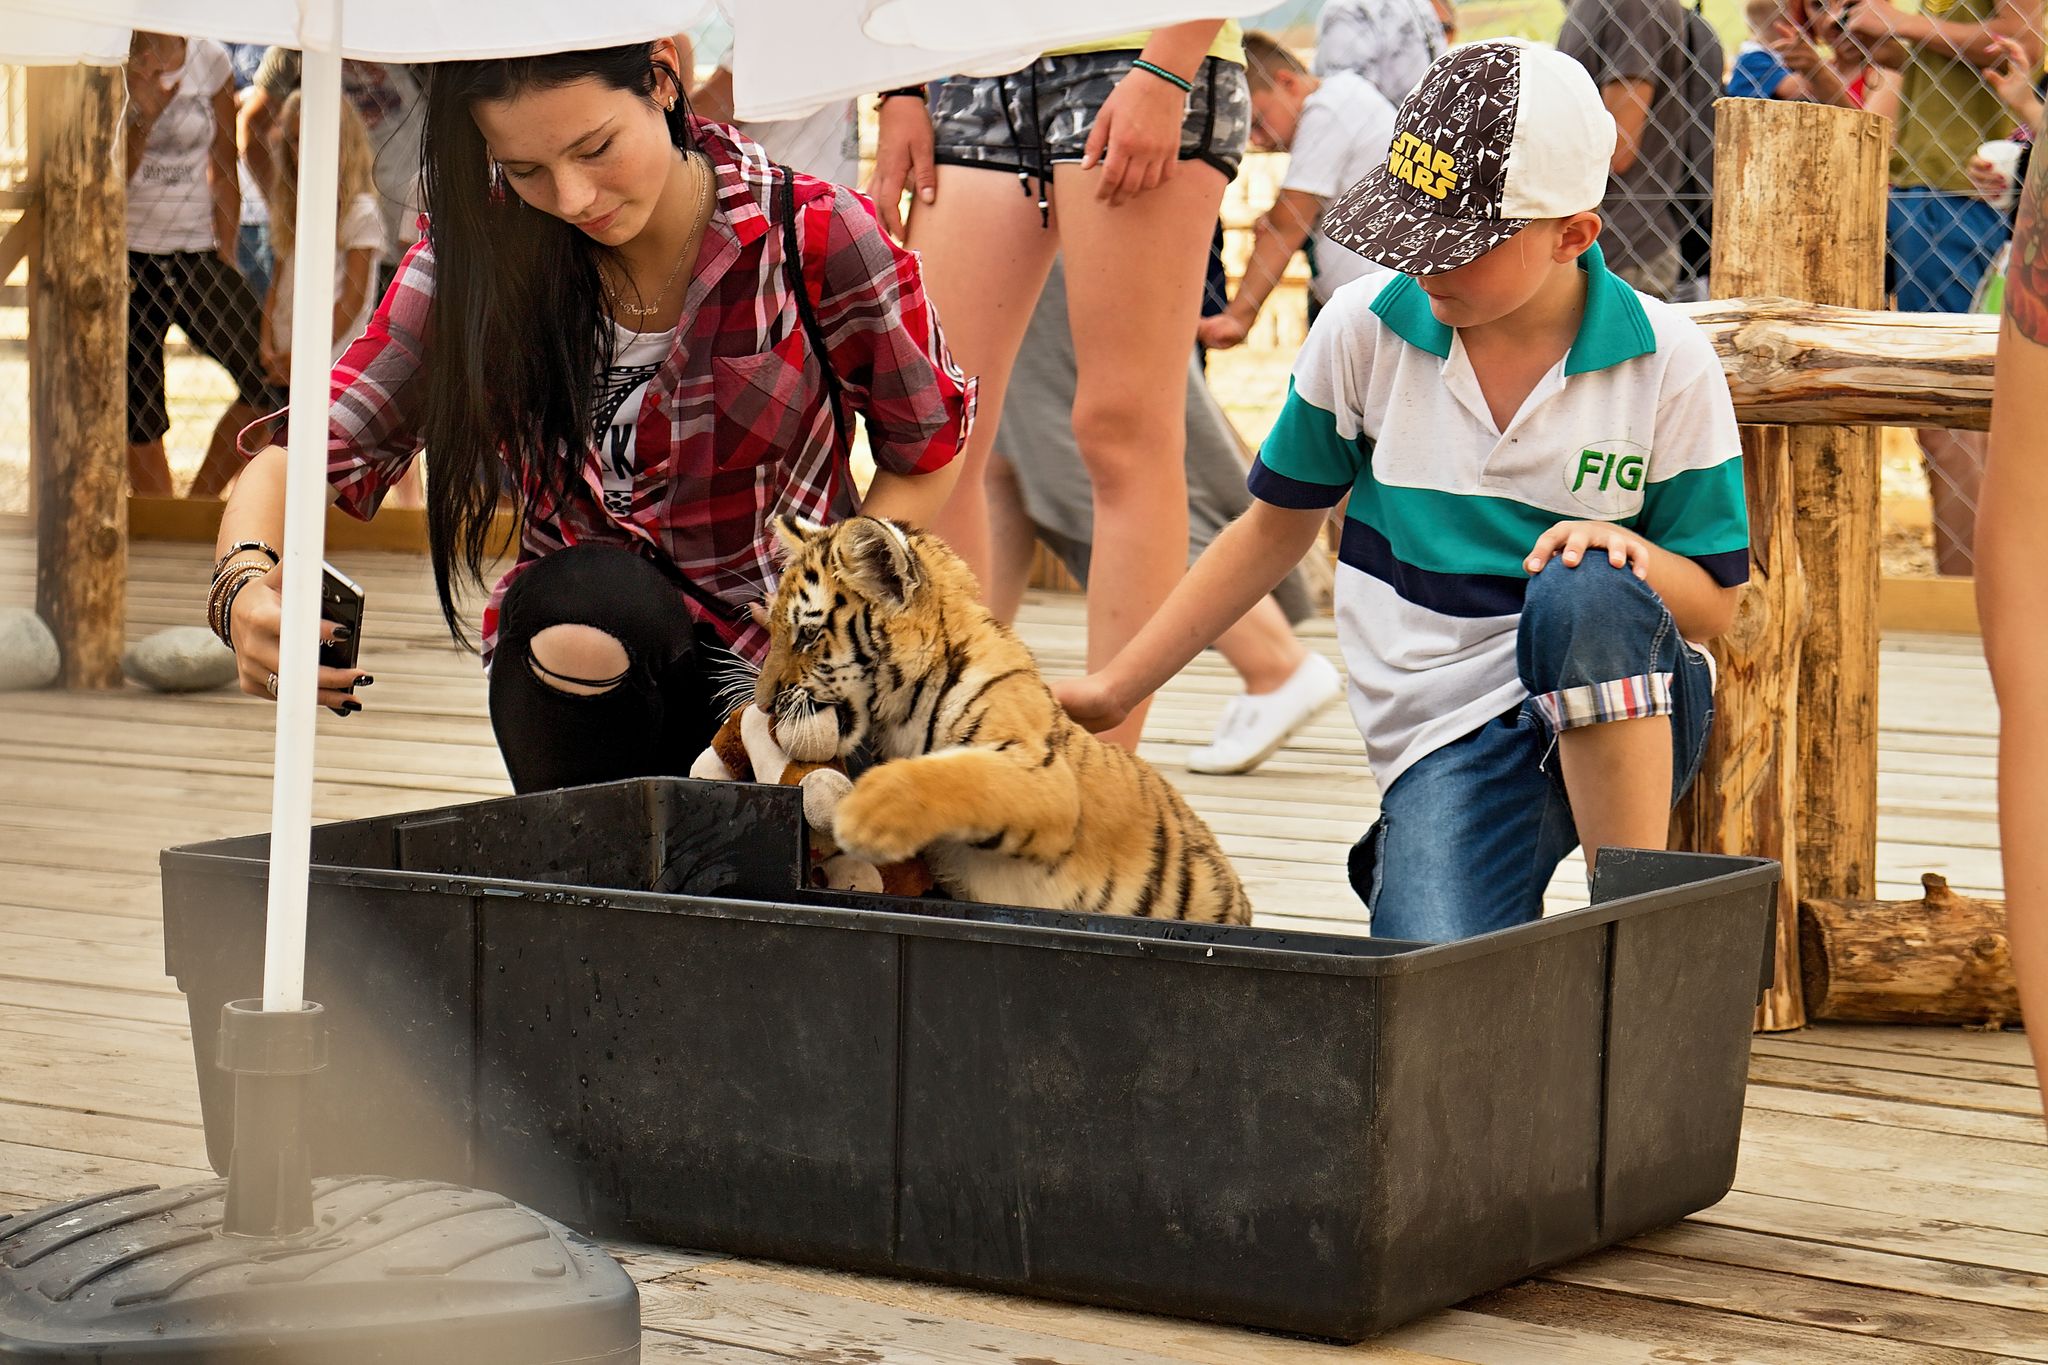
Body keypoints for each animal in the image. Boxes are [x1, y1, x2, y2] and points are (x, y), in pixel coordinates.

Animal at [752, 515, 1253, 925]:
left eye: (808, 635)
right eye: (774, 630)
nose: (762, 704)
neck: (903, 713)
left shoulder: (1043, 774)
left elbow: (959, 773)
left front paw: (862, 814)